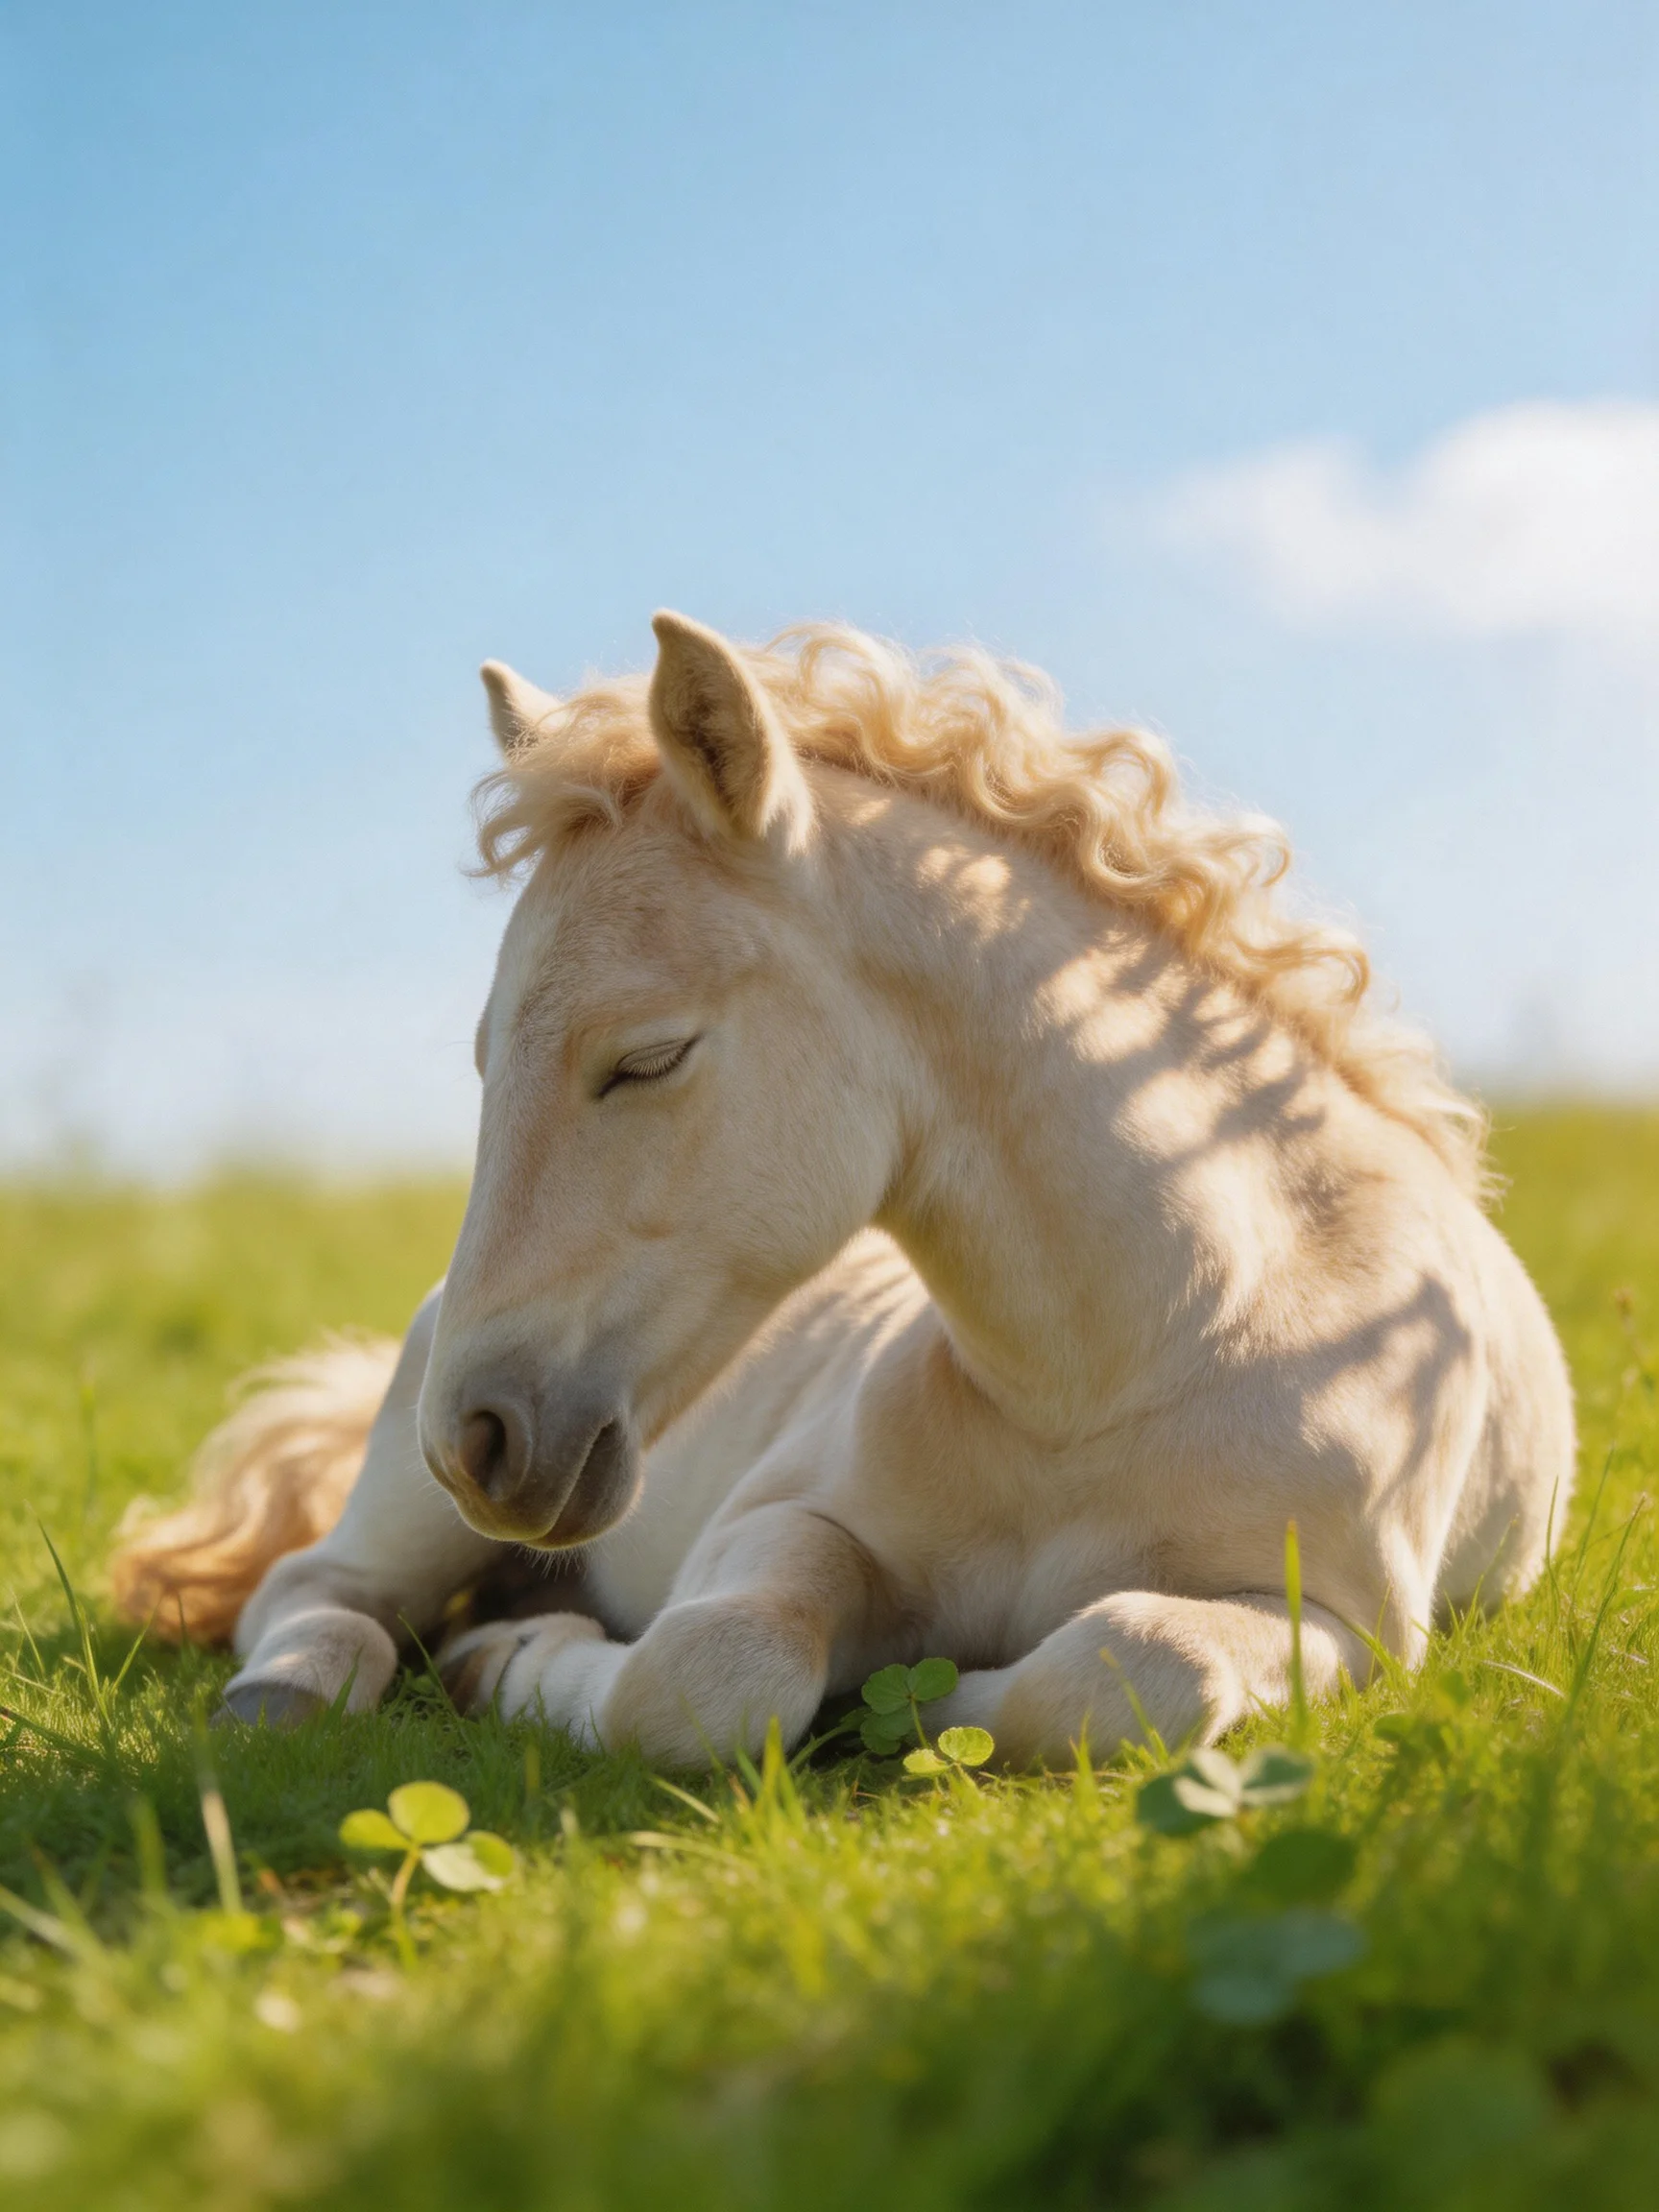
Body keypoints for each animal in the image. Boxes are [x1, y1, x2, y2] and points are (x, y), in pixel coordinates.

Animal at [112, 612, 1575, 1768]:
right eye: (481, 1059)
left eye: (647, 1057)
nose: (478, 1437)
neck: (1139, 1366)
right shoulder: (780, 1521)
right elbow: (709, 1671)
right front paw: (519, 1669)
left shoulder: (1346, 1629)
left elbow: (1130, 1667)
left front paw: (924, 1704)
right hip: (412, 1517)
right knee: (319, 1587)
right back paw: (298, 1692)